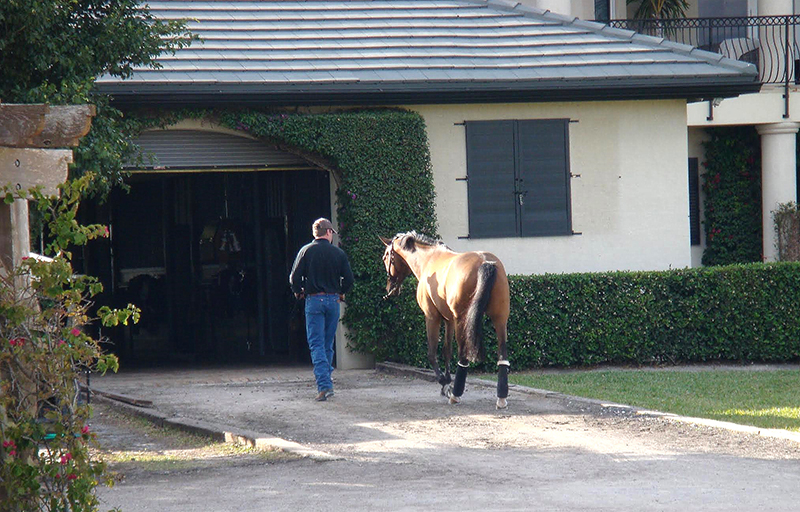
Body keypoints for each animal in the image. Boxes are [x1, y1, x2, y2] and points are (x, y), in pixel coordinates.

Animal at [380, 231, 511, 409]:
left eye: (386, 257)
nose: (390, 287)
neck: (429, 259)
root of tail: (486, 262)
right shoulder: (449, 320)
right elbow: (447, 350)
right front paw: (447, 381)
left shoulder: (432, 317)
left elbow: (432, 352)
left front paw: (443, 381)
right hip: (500, 319)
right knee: (502, 355)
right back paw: (501, 397)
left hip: (463, 321)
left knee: (463, 355)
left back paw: (456, 394)